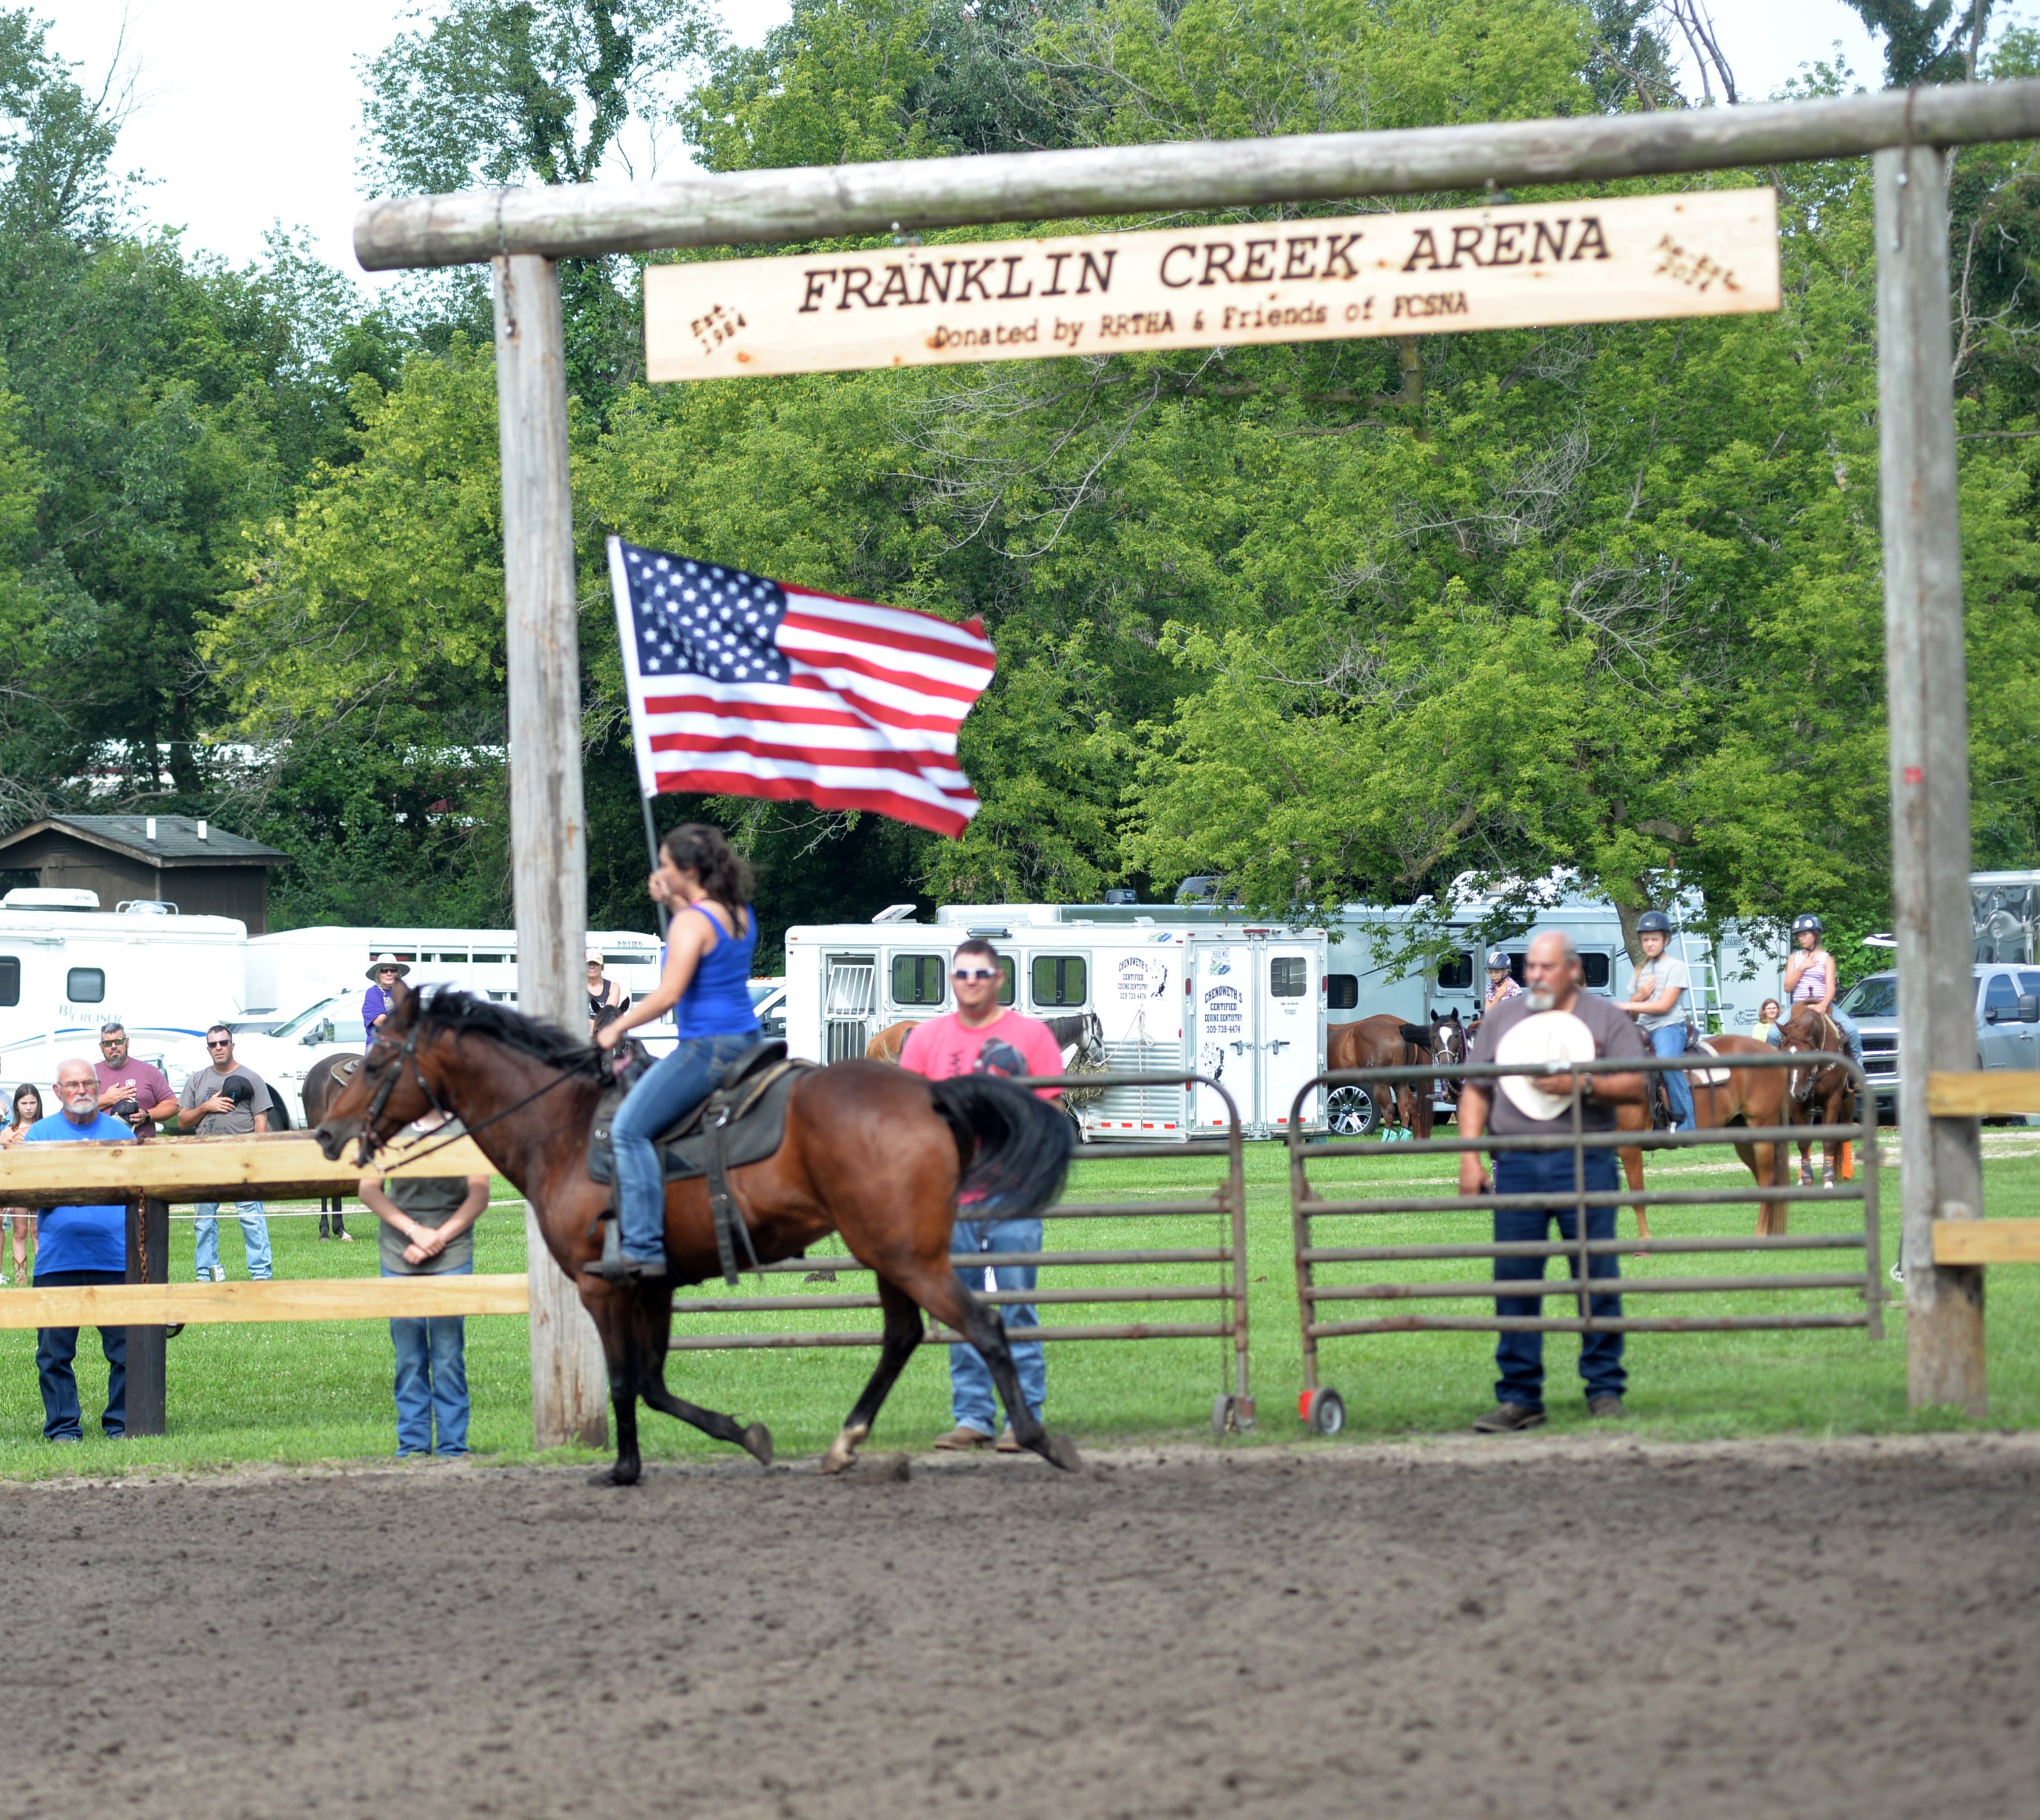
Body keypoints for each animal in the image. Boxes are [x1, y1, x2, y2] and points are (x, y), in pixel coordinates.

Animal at [310, 987, 1077, 1485]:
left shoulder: (600, 1285)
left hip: (904, 1254)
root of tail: (927, 1093)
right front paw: (748, 1435)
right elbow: (653, 1382)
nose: (326, 1132)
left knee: (982, 1325)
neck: (563, 1128)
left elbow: (625, 1380)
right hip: (892, 1254)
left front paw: (623, 1467)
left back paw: (1042, 1440)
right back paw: (846, 1443)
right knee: (903, 1336)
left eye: (375, 1062)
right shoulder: (656, 1286)